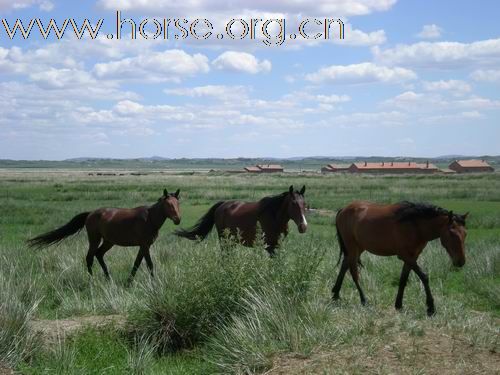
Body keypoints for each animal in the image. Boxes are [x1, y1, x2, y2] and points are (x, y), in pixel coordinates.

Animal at [27, 189, 182, 284]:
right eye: (168, 204)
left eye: (177, 203)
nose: (178, 219)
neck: (149, 219)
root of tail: (90, 213)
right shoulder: (144, 245)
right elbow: (149, 264)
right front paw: (154, 283)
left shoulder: (144, 246)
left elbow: (137, 263)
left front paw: (129, 282)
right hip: (95, 239)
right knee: (90, 257)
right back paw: (92, 281)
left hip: (108, 241)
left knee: (98, 254)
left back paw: (108, 278)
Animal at [176, 186, 308, 256]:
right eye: (293, 203)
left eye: (304, 204)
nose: (303, 226)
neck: (275, 217)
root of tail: (222, 205)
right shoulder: (269, 246)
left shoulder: (277, 245)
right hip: (224, 239)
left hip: (232, 240)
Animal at [332, 201, 468, 316]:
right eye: (452, 233)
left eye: (465, 233)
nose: (461, 261)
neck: (415, 225)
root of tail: (343, 209)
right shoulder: (405, 255)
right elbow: (424, 277)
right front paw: (431, 307)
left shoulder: (412, 256)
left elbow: (403, 279)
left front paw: (399, 305)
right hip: (352, 247)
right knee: (354, 272)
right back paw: (363, 300)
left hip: (358, 248)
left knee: (344, 265)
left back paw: (335, 294)